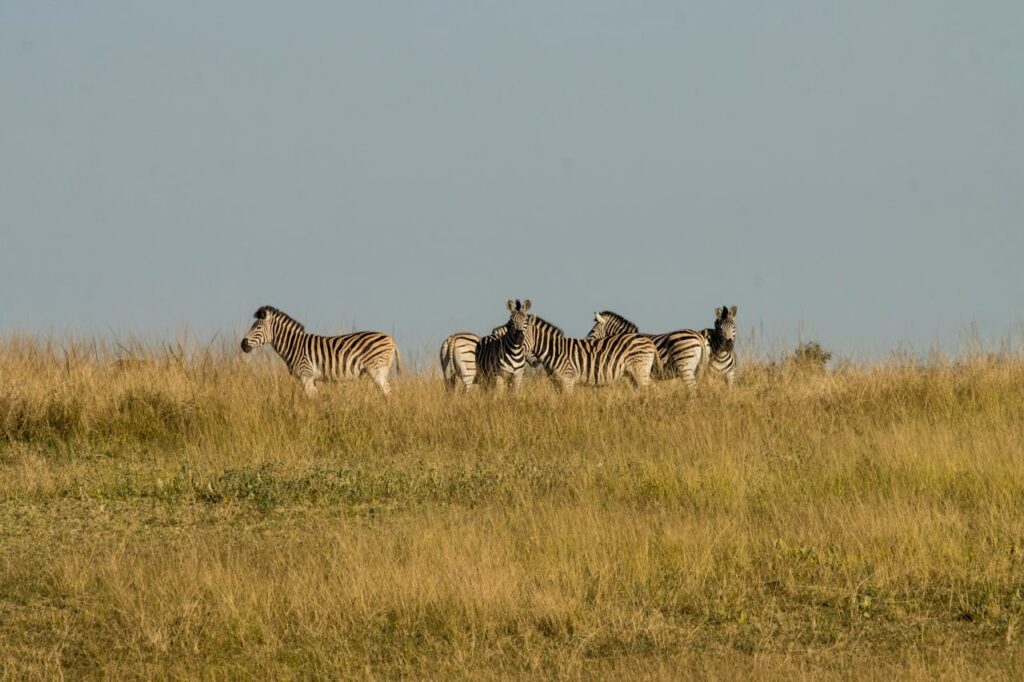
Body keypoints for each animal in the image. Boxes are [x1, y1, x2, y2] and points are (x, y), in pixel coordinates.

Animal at [240, 306, 401, 397]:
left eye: (257, 327)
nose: (243, 344)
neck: (294, 345)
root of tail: (391, 339)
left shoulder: (306, 375)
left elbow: (311, 400)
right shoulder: (312, 378)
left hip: (376, 369)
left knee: (387, 391)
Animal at [524, 316, 657, 394]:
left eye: (521, 337)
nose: (535, 363)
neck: (555, 350)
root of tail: (648, 340)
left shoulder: (567, 379)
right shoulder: (556, 382)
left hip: (640, 371)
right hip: (633, 374)